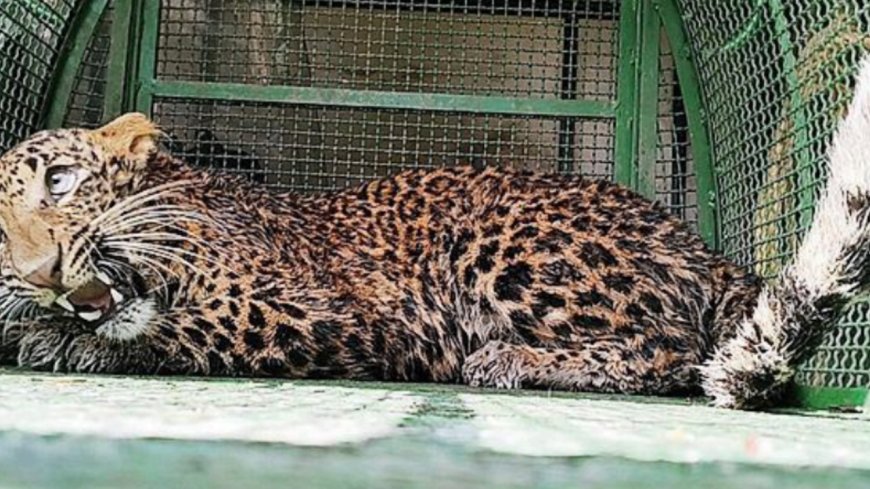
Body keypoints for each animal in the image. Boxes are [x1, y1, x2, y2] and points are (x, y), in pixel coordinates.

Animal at [4, 57, 870, 410]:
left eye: (61, 181)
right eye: (0, 236)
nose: (43, 273)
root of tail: (706, 252)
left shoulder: (336, 311)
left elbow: (204, 324)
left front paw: (67, 341)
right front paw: (36, 323)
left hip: (497, 234)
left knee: (673, 350)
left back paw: (508, 359)